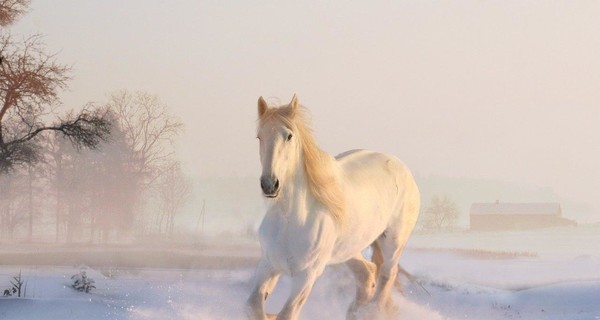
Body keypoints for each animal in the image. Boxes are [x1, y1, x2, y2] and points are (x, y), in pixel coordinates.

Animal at [246, 95, 420, 320]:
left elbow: (287, 314)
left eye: (289, 136)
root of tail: (401, 167)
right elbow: (253, 306)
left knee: (386, 276)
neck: (291, 221)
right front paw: (269, 313)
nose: (269, 184)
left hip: (393, 242)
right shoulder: (269, 264)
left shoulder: (306, 275)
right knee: (366, 273)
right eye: (260, 137)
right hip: (348, 248)